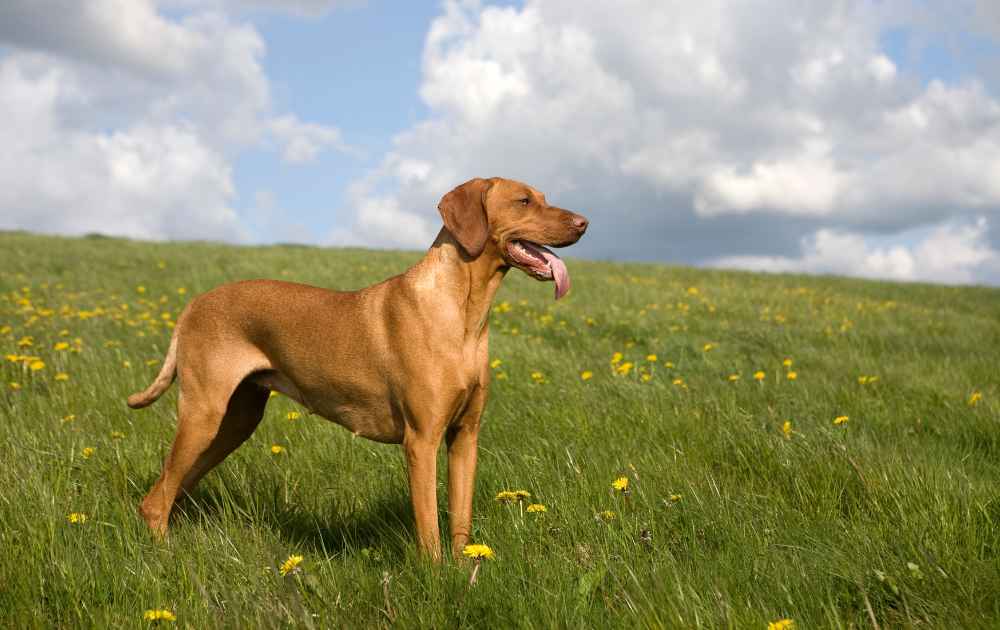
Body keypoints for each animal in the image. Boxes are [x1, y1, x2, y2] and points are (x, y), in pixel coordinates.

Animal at [129, 178, 588, 564]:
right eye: (524, 201)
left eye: (543, 197)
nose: (584, 223)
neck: (462, 312)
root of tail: (195, 303)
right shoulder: (421, 441)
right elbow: (429, 529)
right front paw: (437, 578)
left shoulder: (465, 436)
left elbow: (460, 520)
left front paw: (465, 574)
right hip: (204, 414)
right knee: (155, 500)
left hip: (235, 422)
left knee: (172, 488)